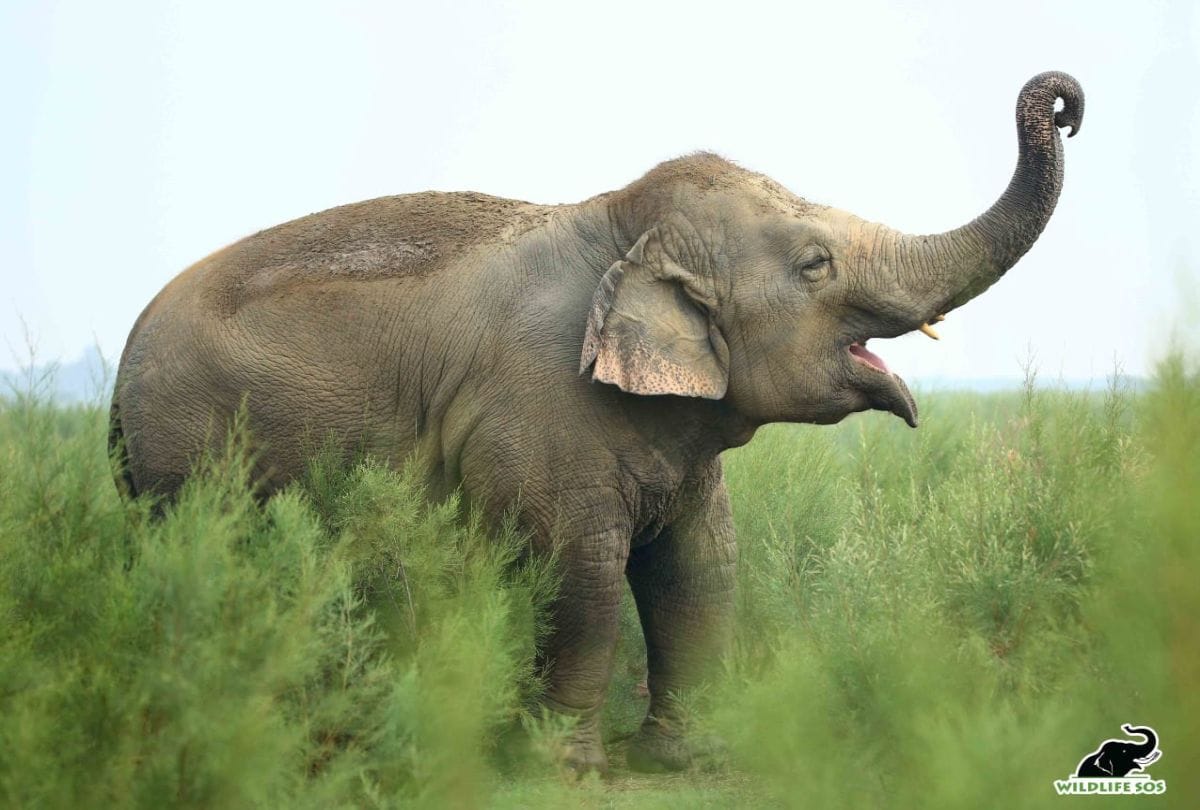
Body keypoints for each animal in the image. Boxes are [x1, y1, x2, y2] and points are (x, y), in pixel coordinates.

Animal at [109, 71, 1083, 774]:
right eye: (815, 264)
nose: (1062, 101)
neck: (617, 222)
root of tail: (121, 368)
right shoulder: (542, 415)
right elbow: (581, 573)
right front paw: (564, 769)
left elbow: (700, 569)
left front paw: (688, 758)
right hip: (182, 458)